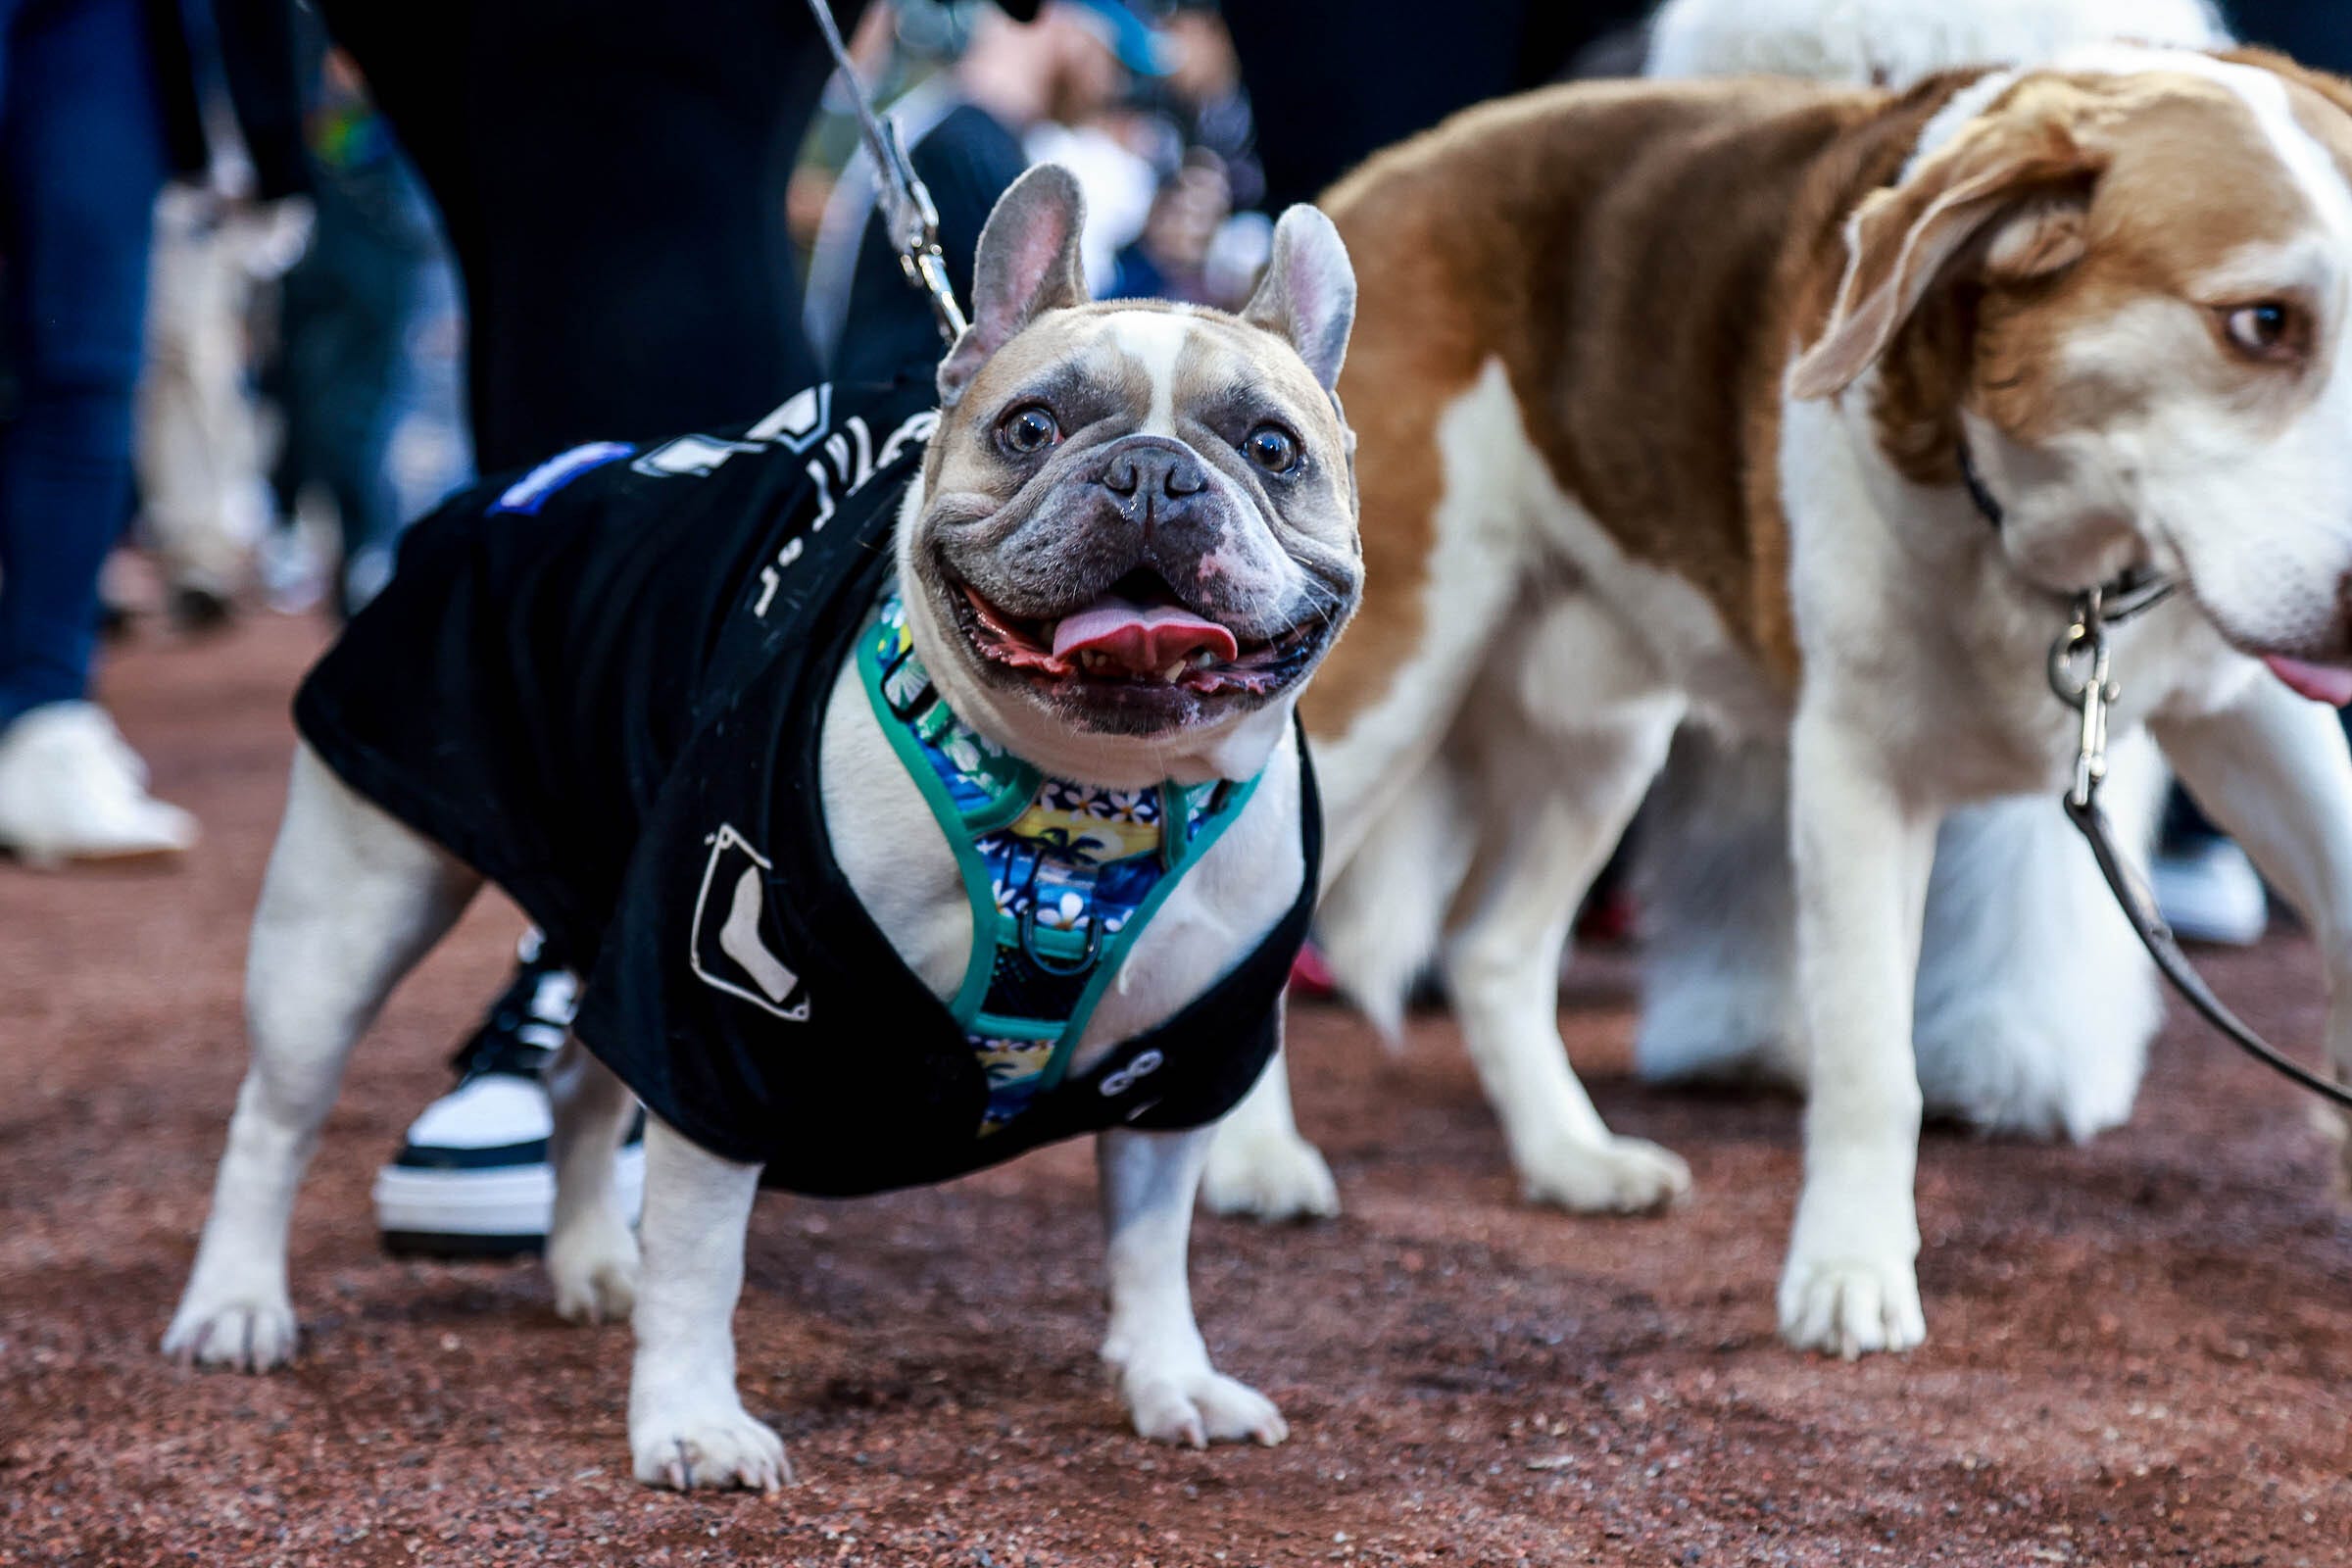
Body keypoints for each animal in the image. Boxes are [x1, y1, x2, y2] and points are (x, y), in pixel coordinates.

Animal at [1203, 42, 2352, 1353]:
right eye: (2261, 324)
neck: (2059, 542)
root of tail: (1370, 189)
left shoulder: (2254, 710)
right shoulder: (1854, 773)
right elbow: (1869, 1058)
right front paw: (1852, 1268)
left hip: (1603, 728)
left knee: (1491, 950)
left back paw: (1569, 1156)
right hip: (1388, 685)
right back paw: (1251, 1159)